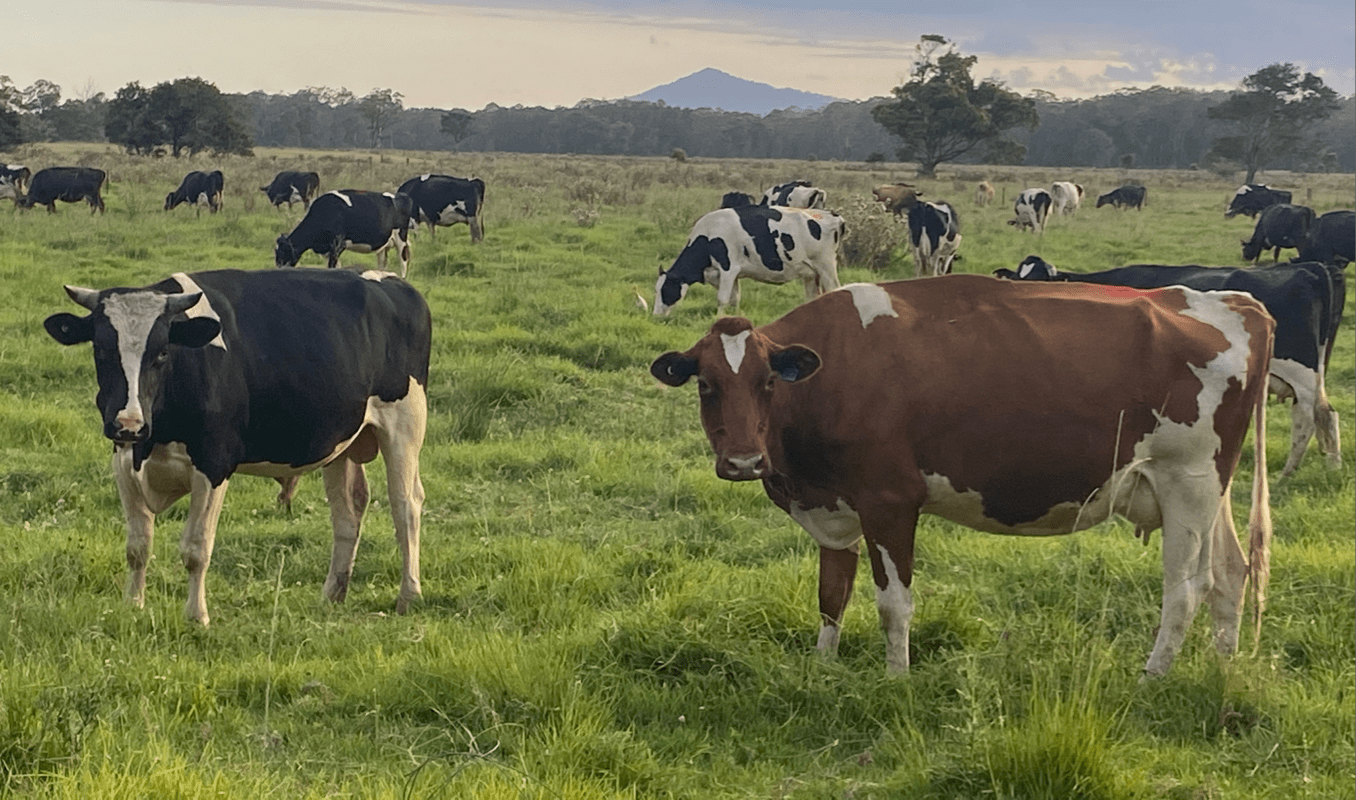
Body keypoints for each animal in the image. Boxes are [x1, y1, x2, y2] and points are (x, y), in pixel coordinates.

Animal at [42, 268, 431, 625]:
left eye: (163, 352)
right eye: (101, 349)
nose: (128, 423)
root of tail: (390, 281)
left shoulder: (214, 464)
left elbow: (196, 548)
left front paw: (196, 616)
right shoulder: (123, 461)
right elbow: (137, 546)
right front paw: (132, 608)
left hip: (405, 425)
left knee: (406, 504)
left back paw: (409, 595)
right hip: (340, 440)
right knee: (347, 510)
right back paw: (332, 594)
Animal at [275, 189, 414, 277]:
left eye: (283, 252)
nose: (277, 270)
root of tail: (402, 195)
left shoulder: (337, 244)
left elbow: (332, 266)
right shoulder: (329, 249)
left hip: (401, 238)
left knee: (403, 260)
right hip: (383, 245)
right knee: (382, 263)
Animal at [651, 276, 1274, 676]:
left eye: (767, 383)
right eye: (705, 385)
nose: (743, 462)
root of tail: (1234, 301)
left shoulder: (889, 501)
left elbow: (893, 604)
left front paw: (895, 681)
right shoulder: (835, 506)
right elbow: (832, 593)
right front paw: (823, 670)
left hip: (1187, 482)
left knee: (1185, 590)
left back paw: (1153, 677)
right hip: (1206, 491)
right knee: (1230, 573)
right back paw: (1222, 668)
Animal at [652, 204, 845, 316]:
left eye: (666, 289)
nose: (655, 315)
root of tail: (833, 215)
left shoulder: (728, 268)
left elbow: (722, 298)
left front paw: (718, 319)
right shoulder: (732, 274)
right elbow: (735, 298)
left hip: (826, 267)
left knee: (835, 290)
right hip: (810, 273)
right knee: (812, 297)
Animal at [995, 255, 1344, 477]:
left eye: (1043, 279)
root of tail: (1310, 267)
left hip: (1300, 371)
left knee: (1308, 417)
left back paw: (1289, 471)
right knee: (1327, 414)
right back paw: (1332, 466)